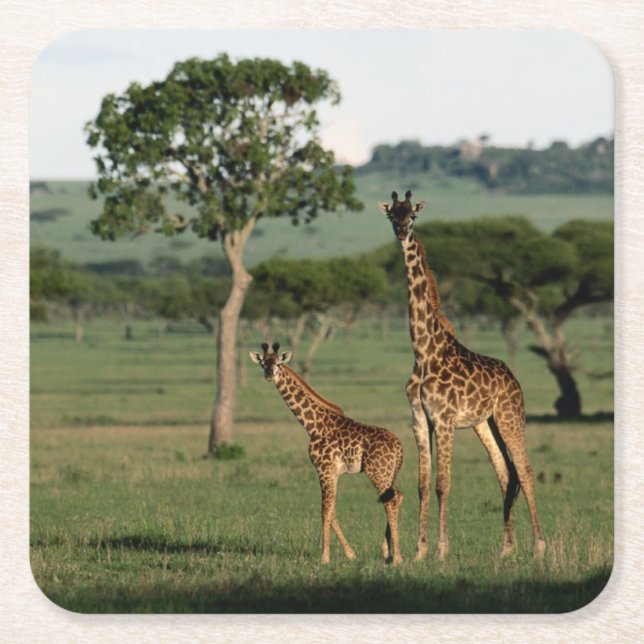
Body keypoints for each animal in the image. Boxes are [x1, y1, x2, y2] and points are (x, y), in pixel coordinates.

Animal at [250, 342, 405, 565]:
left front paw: (324, 557)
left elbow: (325, 510)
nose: (269, 374)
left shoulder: (324, 468)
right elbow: (331, 510)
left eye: (278, 363)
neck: (313, 425)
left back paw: (397, 557)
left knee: (390, 501)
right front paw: (350, 554)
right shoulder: (333, 472)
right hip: (389, 473)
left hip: (377, 472)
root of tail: (400, 448)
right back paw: (387, 552)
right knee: (397, 496)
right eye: (263, 363)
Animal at [379, 190, 545, 560]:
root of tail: (514, 379)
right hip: (486, 423)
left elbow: (443, 484)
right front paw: (419, 551)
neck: (423, 352)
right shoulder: (419, 420)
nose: (401, 231)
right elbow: (423, 484)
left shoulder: (444, 420)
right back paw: (507, 549)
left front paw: (441, 550)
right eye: (392, 215)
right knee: (505, 473)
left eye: (412, 215)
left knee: (525, 470)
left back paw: (540, 547)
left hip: (510, 416)